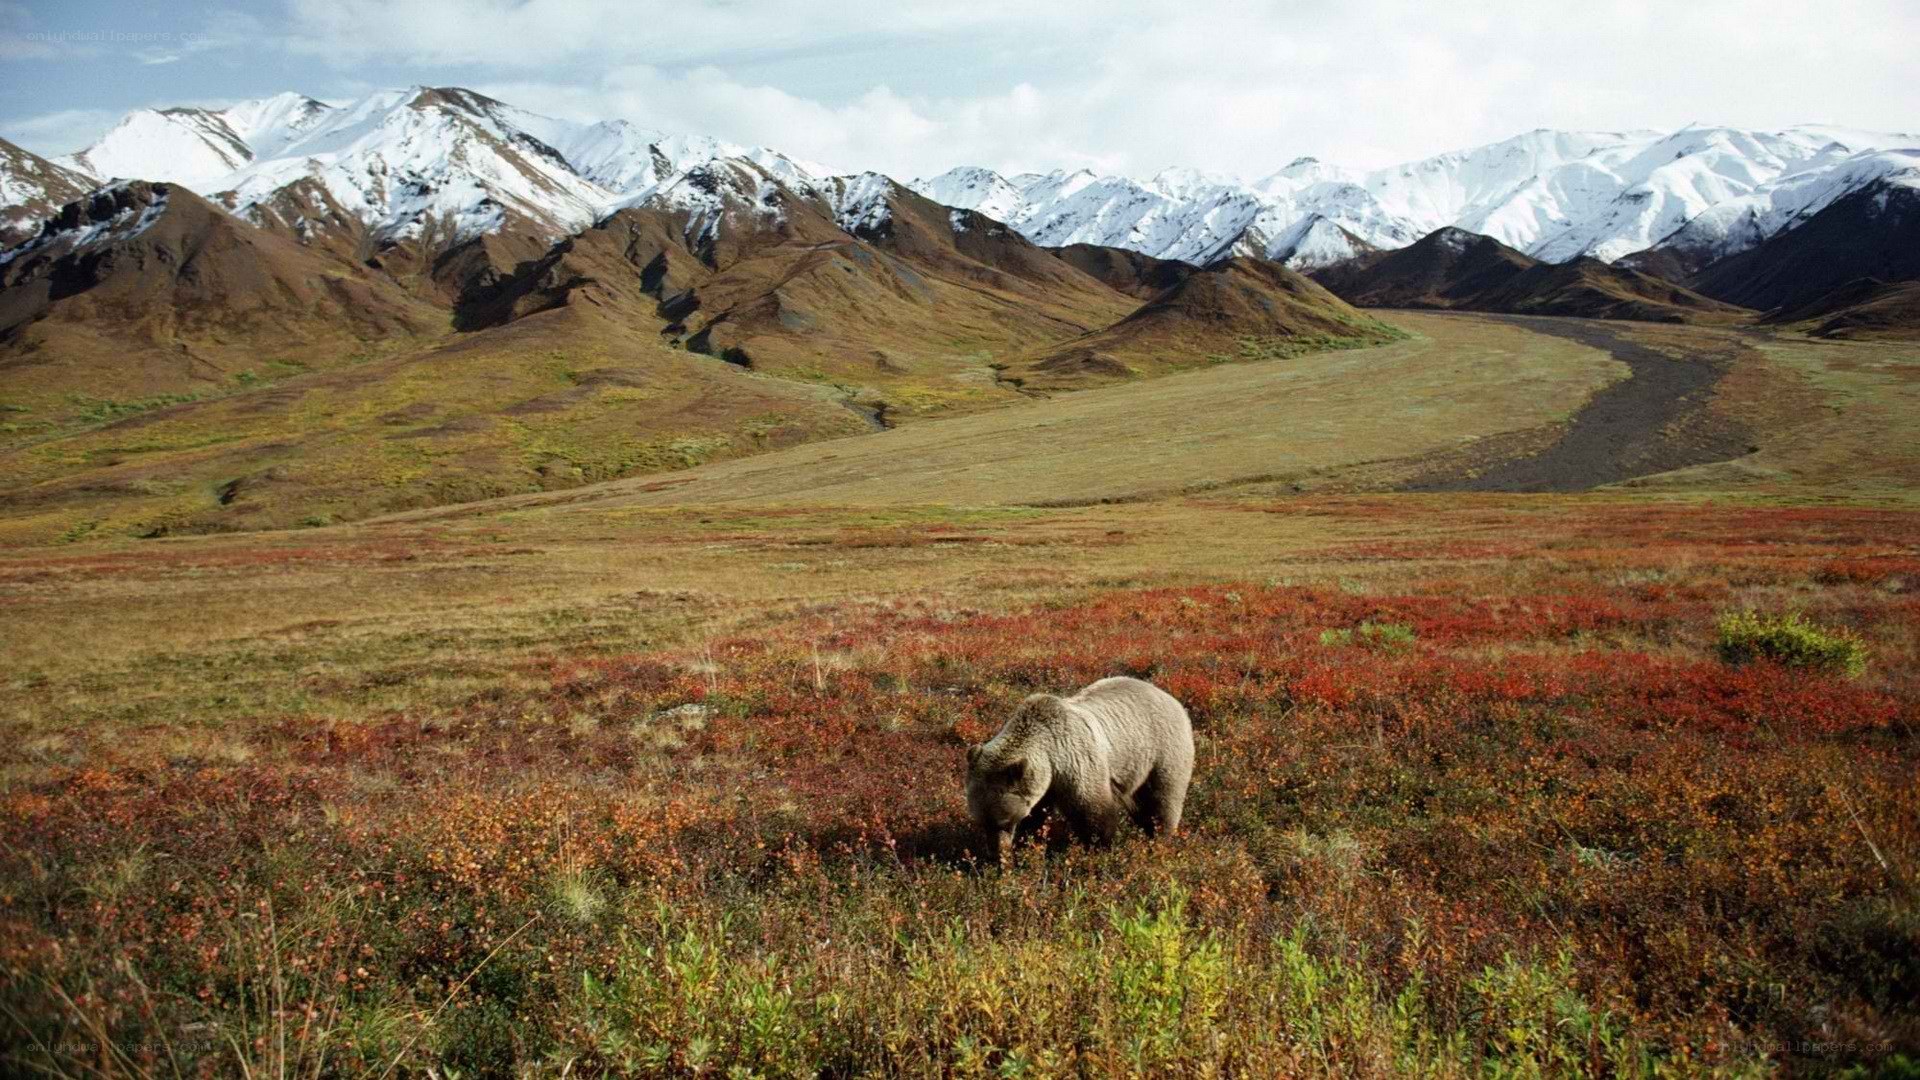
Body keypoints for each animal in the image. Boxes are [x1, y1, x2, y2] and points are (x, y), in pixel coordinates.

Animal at [965, 676, 1194, 863]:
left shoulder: (1076, 762)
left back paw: (1160, 839)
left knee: (1163, 800)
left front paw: (1099, 850)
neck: (1051, 757)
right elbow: (1036, 818)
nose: (995, 853)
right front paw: (1026, 847)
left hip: (1163, 752)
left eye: (1004, 821)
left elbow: (1093, 813)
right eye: (981, 821)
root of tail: (1171, 699)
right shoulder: (1044, 785)